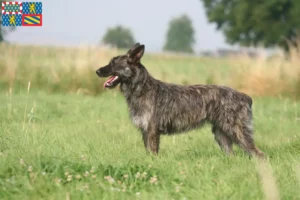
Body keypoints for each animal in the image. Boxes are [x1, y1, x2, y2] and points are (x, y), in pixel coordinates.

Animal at [96, 43, 264, 158]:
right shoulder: (145, 131)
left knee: (258, 153)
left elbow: (153, 153)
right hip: (221, 134)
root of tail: (245, 97)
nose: (97, 71)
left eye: (113, 63)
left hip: (237, 131)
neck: (142, 88)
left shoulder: (151, 131)